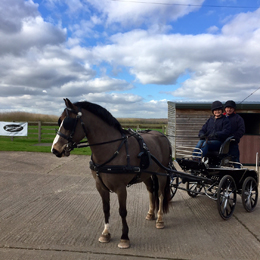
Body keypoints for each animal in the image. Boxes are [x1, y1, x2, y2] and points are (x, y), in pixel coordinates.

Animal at [51, 98, 172, 249]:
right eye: (59, 121)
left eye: (68, 122)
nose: (55, 149)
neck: (112, 149)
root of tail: (162, 135)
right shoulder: (100, 186)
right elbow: (106, 209)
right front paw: (105, 234)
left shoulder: (121, 188)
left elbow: (122, 211)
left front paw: (124, 238)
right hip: (146, 174)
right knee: (151, 190)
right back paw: (151, 213)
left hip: (162, 173)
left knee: (160, 195)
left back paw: (160, 220)